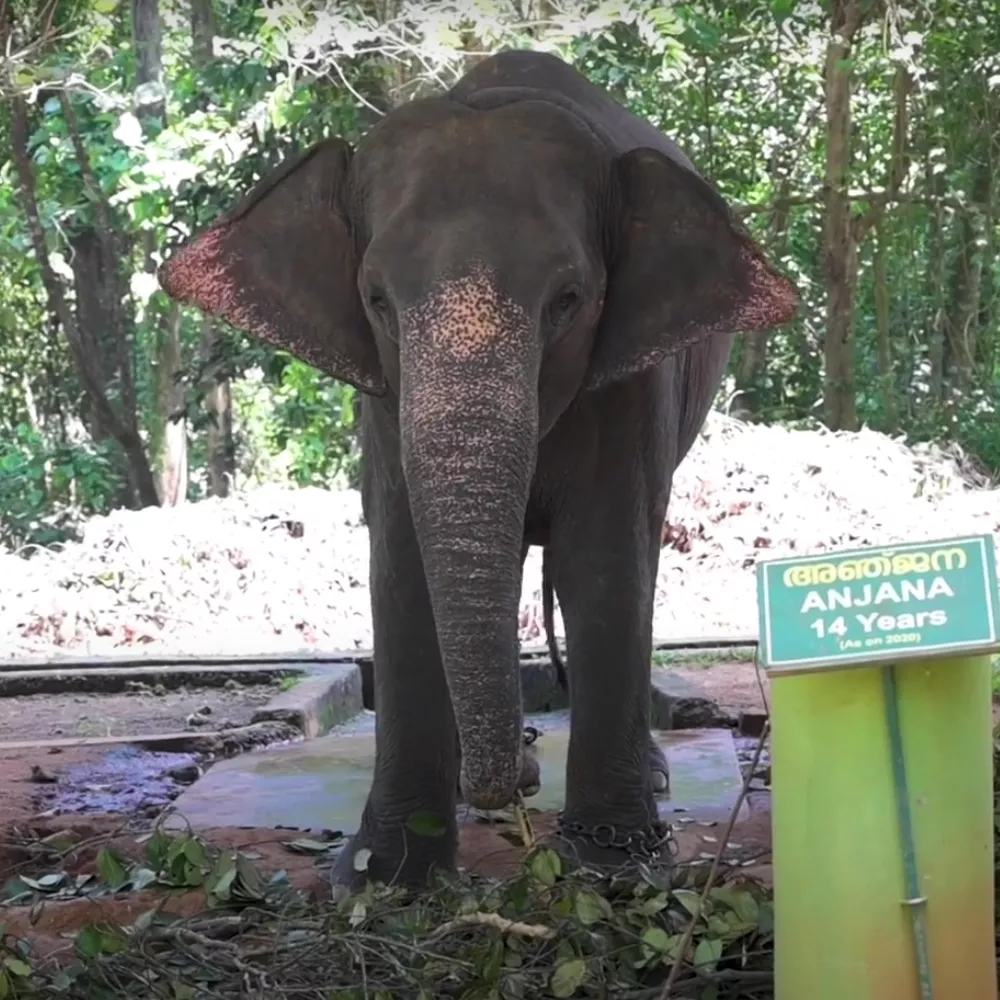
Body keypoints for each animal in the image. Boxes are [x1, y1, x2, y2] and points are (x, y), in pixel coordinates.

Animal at [158, 48, 797, 890]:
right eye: (376, 299)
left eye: (569, 299)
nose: (510, 788)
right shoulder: (383, 396)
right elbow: (401, 561)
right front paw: (384, 876)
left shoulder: (630, 387)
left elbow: (605, 559)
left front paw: (616, 868)